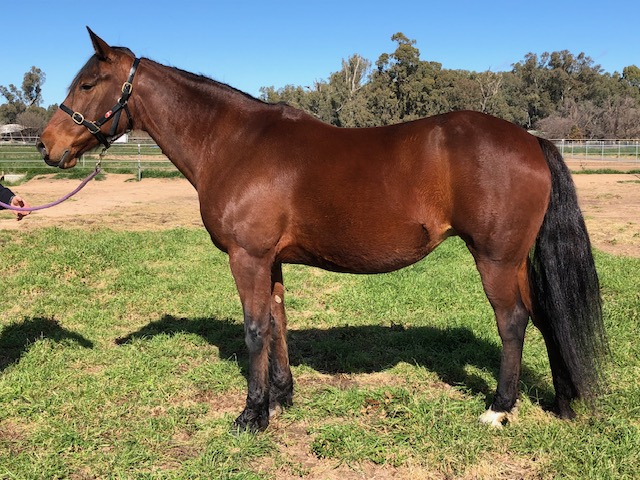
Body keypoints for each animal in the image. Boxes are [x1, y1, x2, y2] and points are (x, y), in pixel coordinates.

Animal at [38, 28, 607, 432]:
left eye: (87, 84)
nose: (46, 145)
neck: (235, 142)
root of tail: (531, 140)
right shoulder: (271, 260)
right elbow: (278, 323)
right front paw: (281, 397)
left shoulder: (247, 257)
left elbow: (254, 328)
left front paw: (252, 414)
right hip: (516, 261)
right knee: (546, 317)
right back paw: (561, 402)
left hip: (494, 259)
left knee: (513, 322)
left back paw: (499, 408)